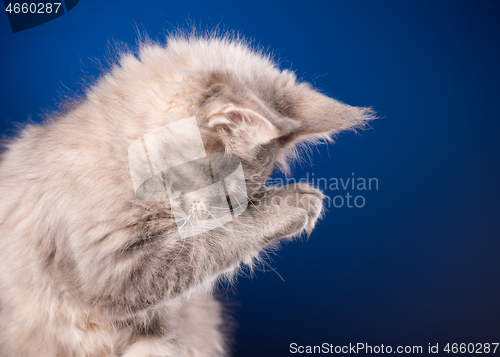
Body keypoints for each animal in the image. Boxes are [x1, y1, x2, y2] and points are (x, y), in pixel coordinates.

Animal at [0, 34, 374, 356]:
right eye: (226, 191)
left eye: (243, 196)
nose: (228, 210)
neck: (119, 158)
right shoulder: (112, 268)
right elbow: (211, 243)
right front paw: (293, 202)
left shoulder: (159, 324)